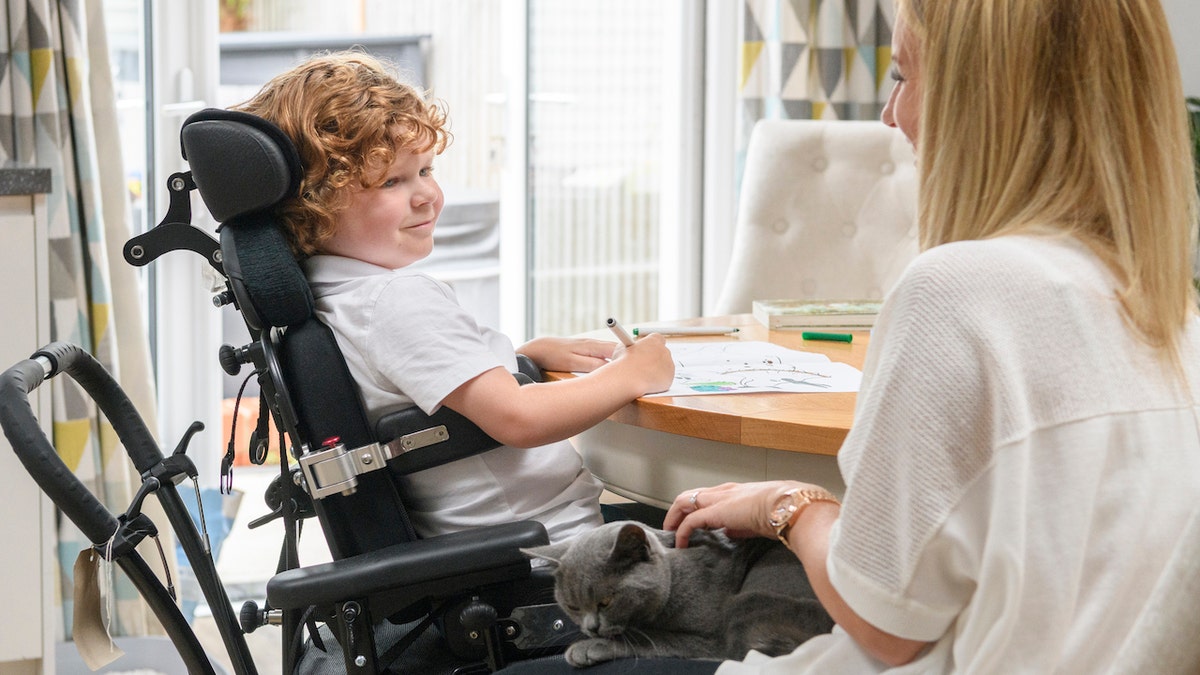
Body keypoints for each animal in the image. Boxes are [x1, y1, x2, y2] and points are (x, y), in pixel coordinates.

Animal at [525, 516, 835, 662]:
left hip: (747, 601)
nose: (591, 629)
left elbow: (652, 639)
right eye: (572, 607)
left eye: (606, 601)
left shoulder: (710, 636)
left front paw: (588, 647)